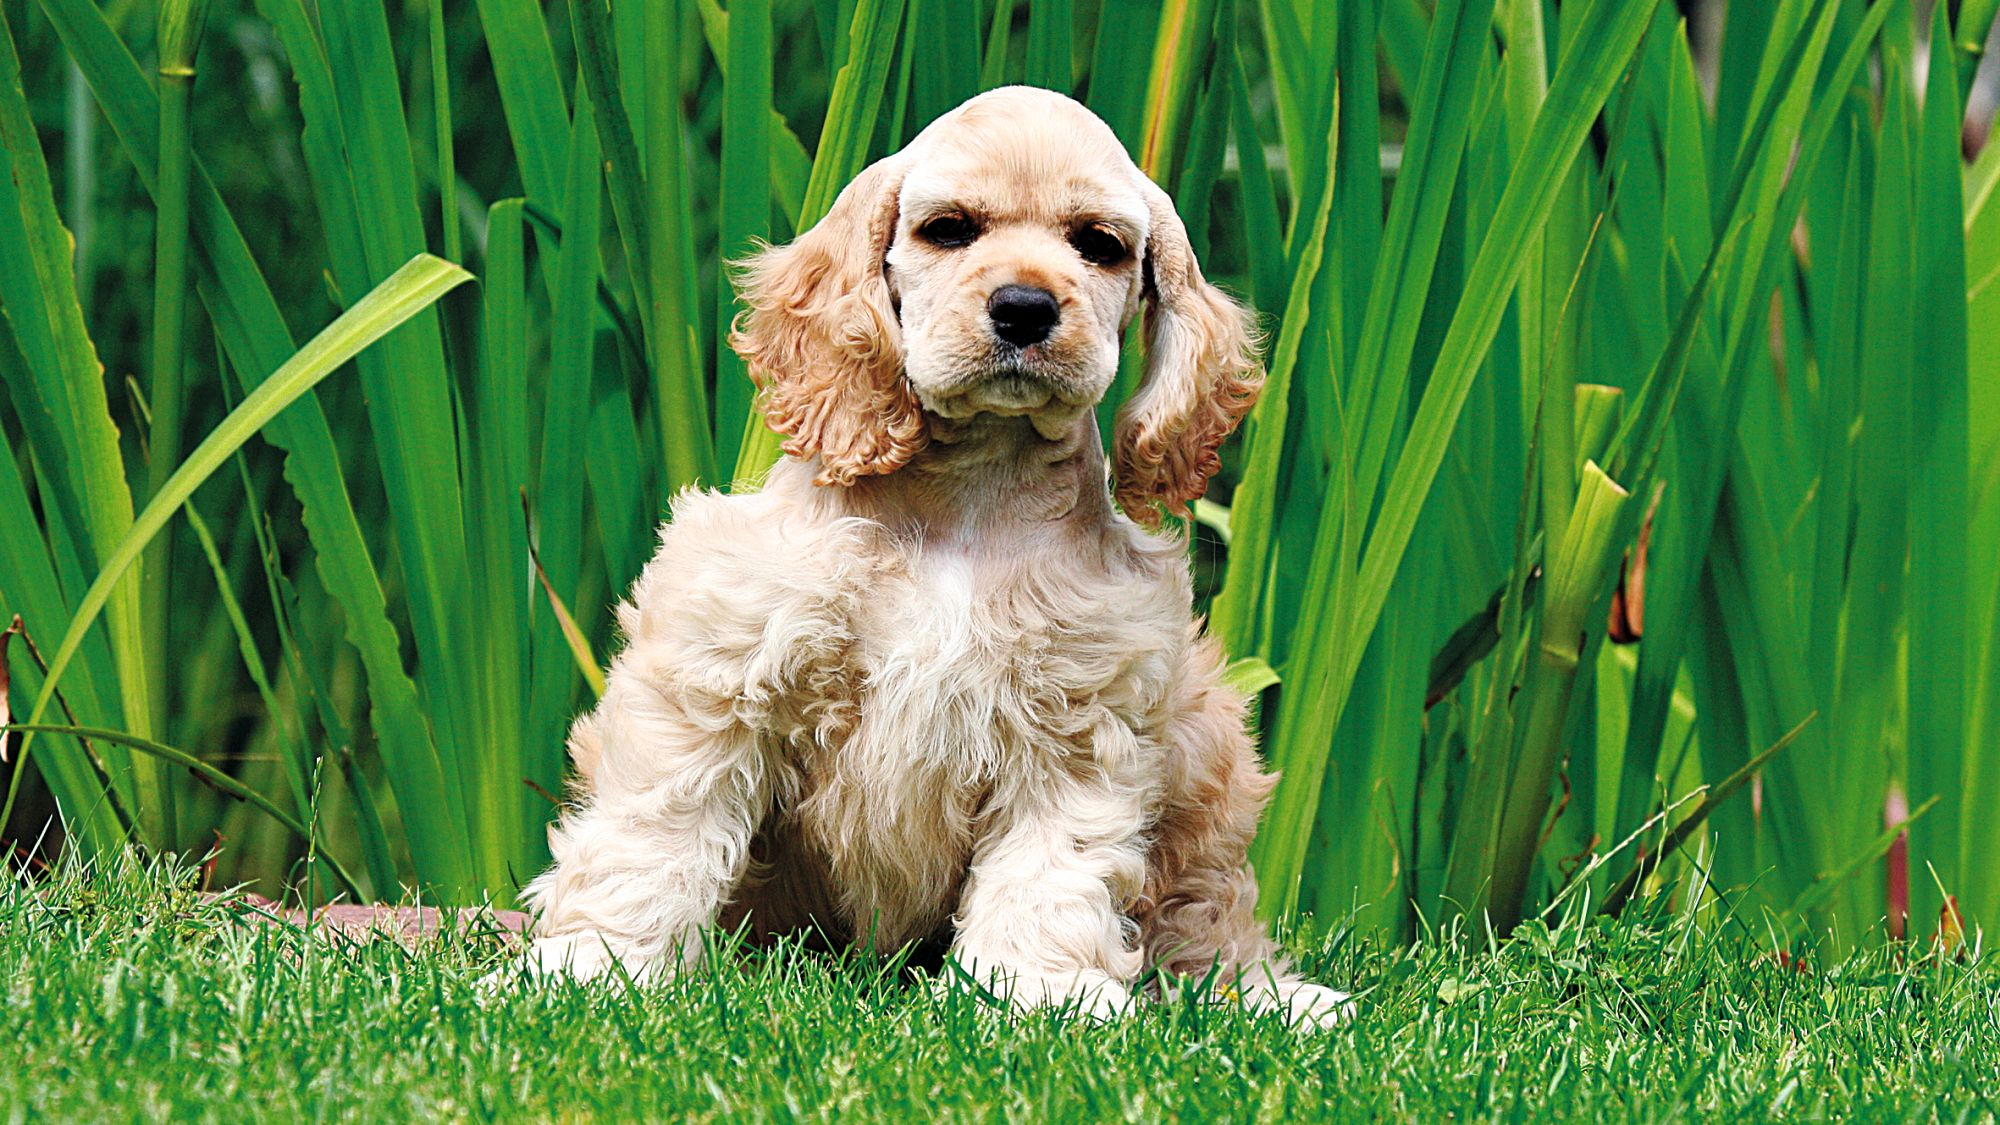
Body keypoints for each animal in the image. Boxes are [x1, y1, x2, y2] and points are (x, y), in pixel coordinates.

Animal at [520, 85, 1344, 1024]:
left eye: (1099, 244)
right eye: (949, 230)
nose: (1024, 307)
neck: (966, 497)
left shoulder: (1078, 718)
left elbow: (1052, 867)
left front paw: (1037, 995)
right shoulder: (723, 668)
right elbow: (651, 833)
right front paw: (593, 965)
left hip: (1209, 744)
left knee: (1205, 916)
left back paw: (1276, 999)